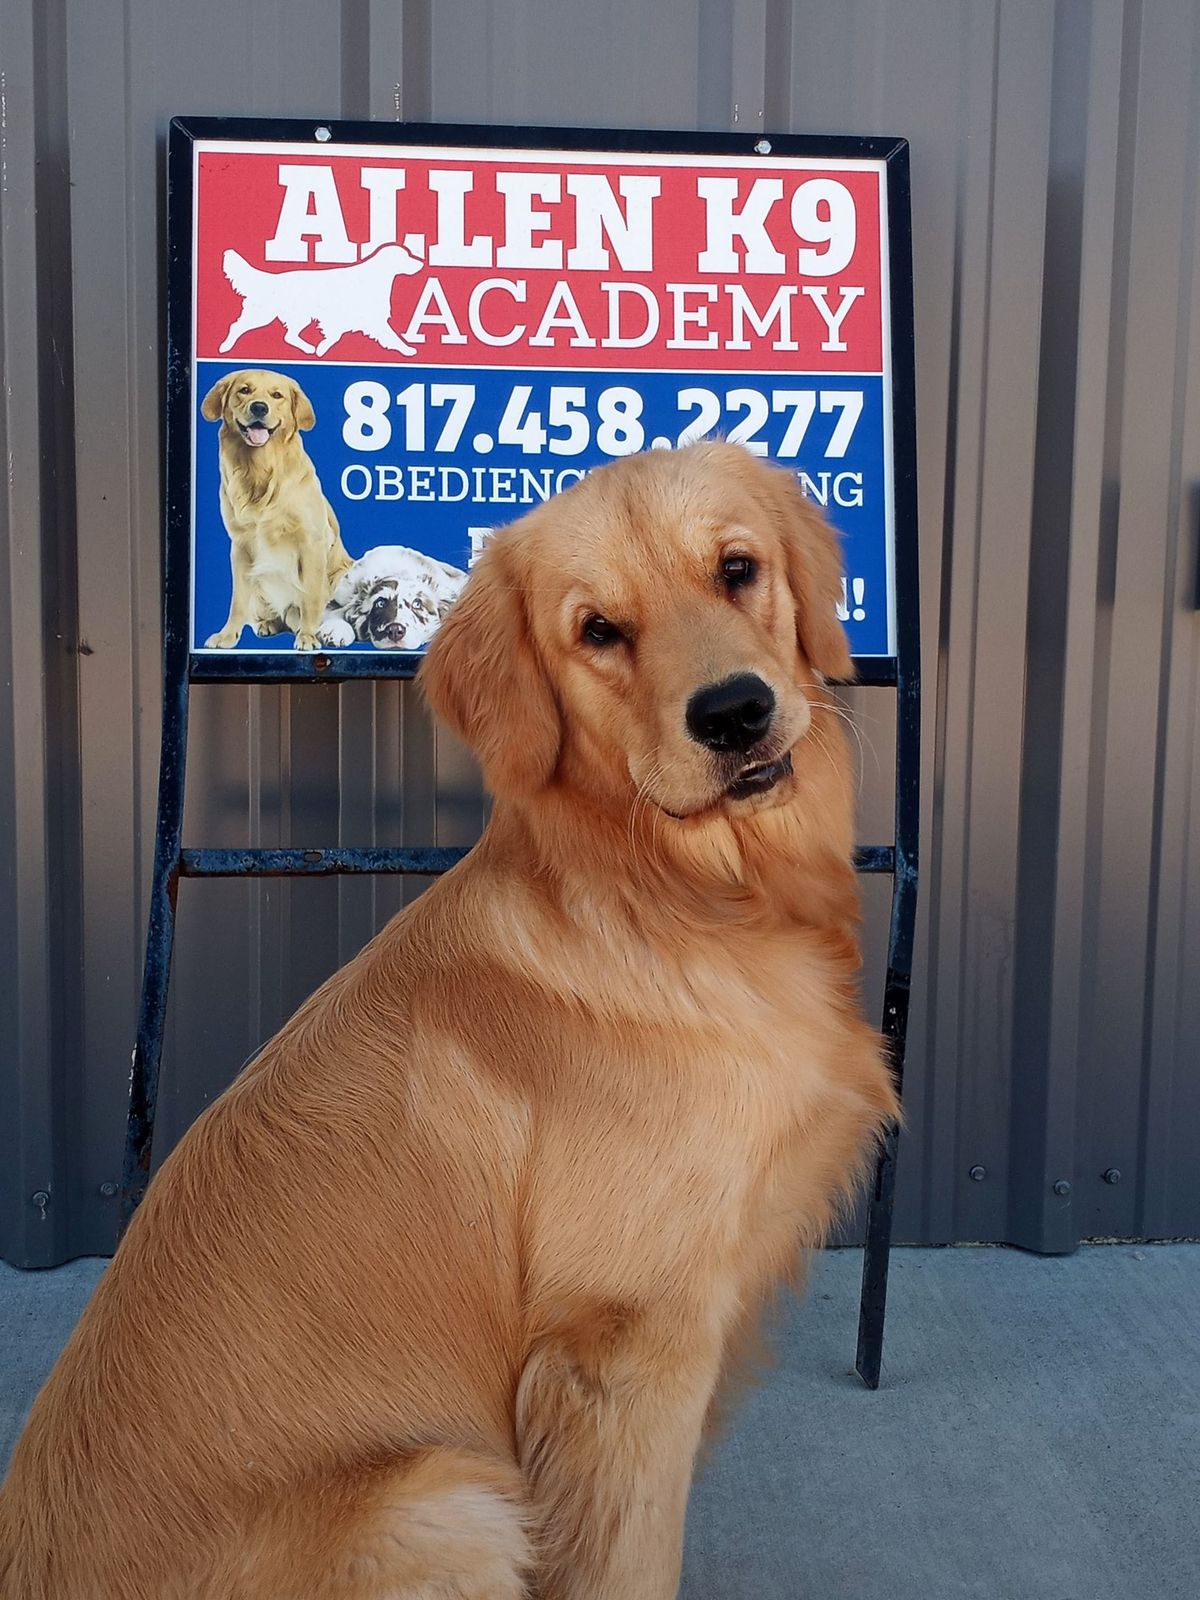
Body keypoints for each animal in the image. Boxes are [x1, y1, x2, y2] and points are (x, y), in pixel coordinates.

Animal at [0, 441, 896, 1600]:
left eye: (736, 569)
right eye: (596, 630)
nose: (734, 713)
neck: (679, 898)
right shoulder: (622, 1349)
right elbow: (628, 1566)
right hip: (447, 1498)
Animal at [200, 368, 352, 649]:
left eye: (277, 395)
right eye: (244, 390)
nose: (259, 407)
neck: (259, 469)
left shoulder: (312, 542)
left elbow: (310, 597)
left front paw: (308, 636)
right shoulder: (241, 546)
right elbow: (238, 601)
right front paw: (228, 635)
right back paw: (268, 623)